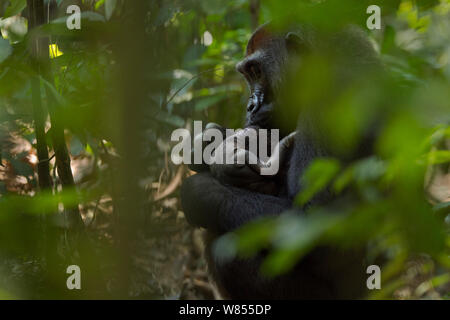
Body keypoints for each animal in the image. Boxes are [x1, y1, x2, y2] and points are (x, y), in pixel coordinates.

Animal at [179, 23, 380, 300]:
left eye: (256, 71)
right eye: (248, 74)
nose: (250, 106)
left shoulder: (330, 100)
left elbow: (317, 223)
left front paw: (200, 190)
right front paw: (215, 144)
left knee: (226, 246)